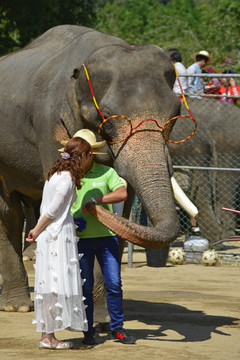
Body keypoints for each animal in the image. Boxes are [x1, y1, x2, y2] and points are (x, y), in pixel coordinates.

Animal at [0, 23, 199, 314]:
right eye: (107, 116)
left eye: (175, 113)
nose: (91, 203)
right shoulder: (50, 124)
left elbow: (121, 207)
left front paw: (104, 313)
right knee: (8, 211)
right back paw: (17, 307)